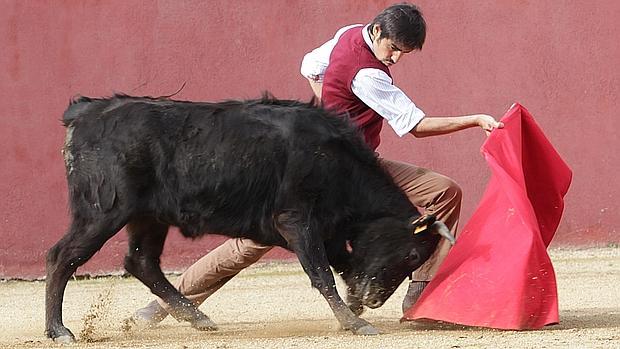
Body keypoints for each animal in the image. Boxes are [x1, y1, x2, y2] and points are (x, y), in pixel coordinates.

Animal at [42, 94, 450, 342]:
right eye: (413, 254)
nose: (376, 300)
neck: (338, 162)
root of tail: (86, 112)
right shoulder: (297, 221)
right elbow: (321, 273)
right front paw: (356, 322)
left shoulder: (327, 232)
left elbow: (341, 267)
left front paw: (353, 313)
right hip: (102, 212)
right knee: (63, 257)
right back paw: (58, 330)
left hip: (148, 217)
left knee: (141, 261)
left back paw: (198, 318)